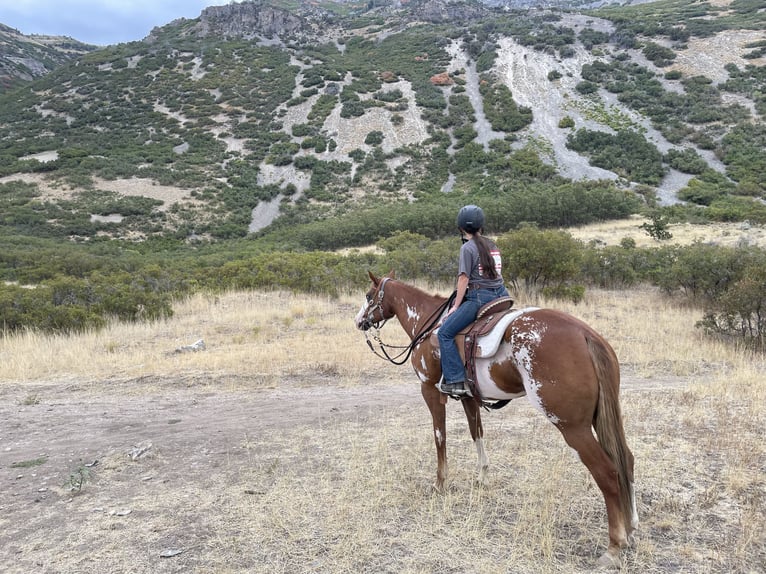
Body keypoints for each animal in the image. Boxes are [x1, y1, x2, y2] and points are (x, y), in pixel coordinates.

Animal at [354, 271, 637, 568]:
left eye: (368, 296)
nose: (359, 321)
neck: (429, 322)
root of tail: (585, 334)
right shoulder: (468, 397)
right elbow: (476, 433)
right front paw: (482, 477)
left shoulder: (430, 390)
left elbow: (439, 436)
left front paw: (440, 483)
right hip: (599, 419)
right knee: (626, 461)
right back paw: (630, 528)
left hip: (573, 427)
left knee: (607, 472)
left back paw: (614, 547)